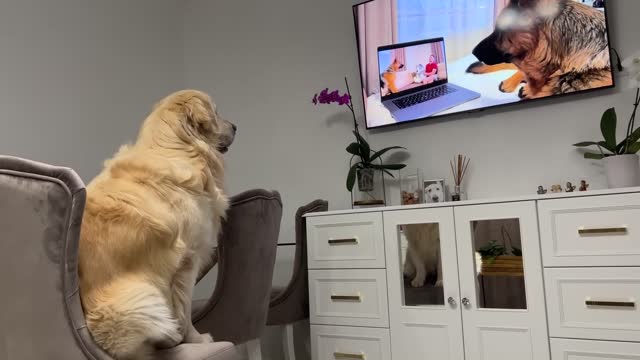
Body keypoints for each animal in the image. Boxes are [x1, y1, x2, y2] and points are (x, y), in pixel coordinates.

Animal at [306, 188, 640, 360]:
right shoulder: (415, 245)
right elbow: (421, 265)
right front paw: (420, 281)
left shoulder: (439, 243)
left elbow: (441, 266)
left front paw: (440, 281)